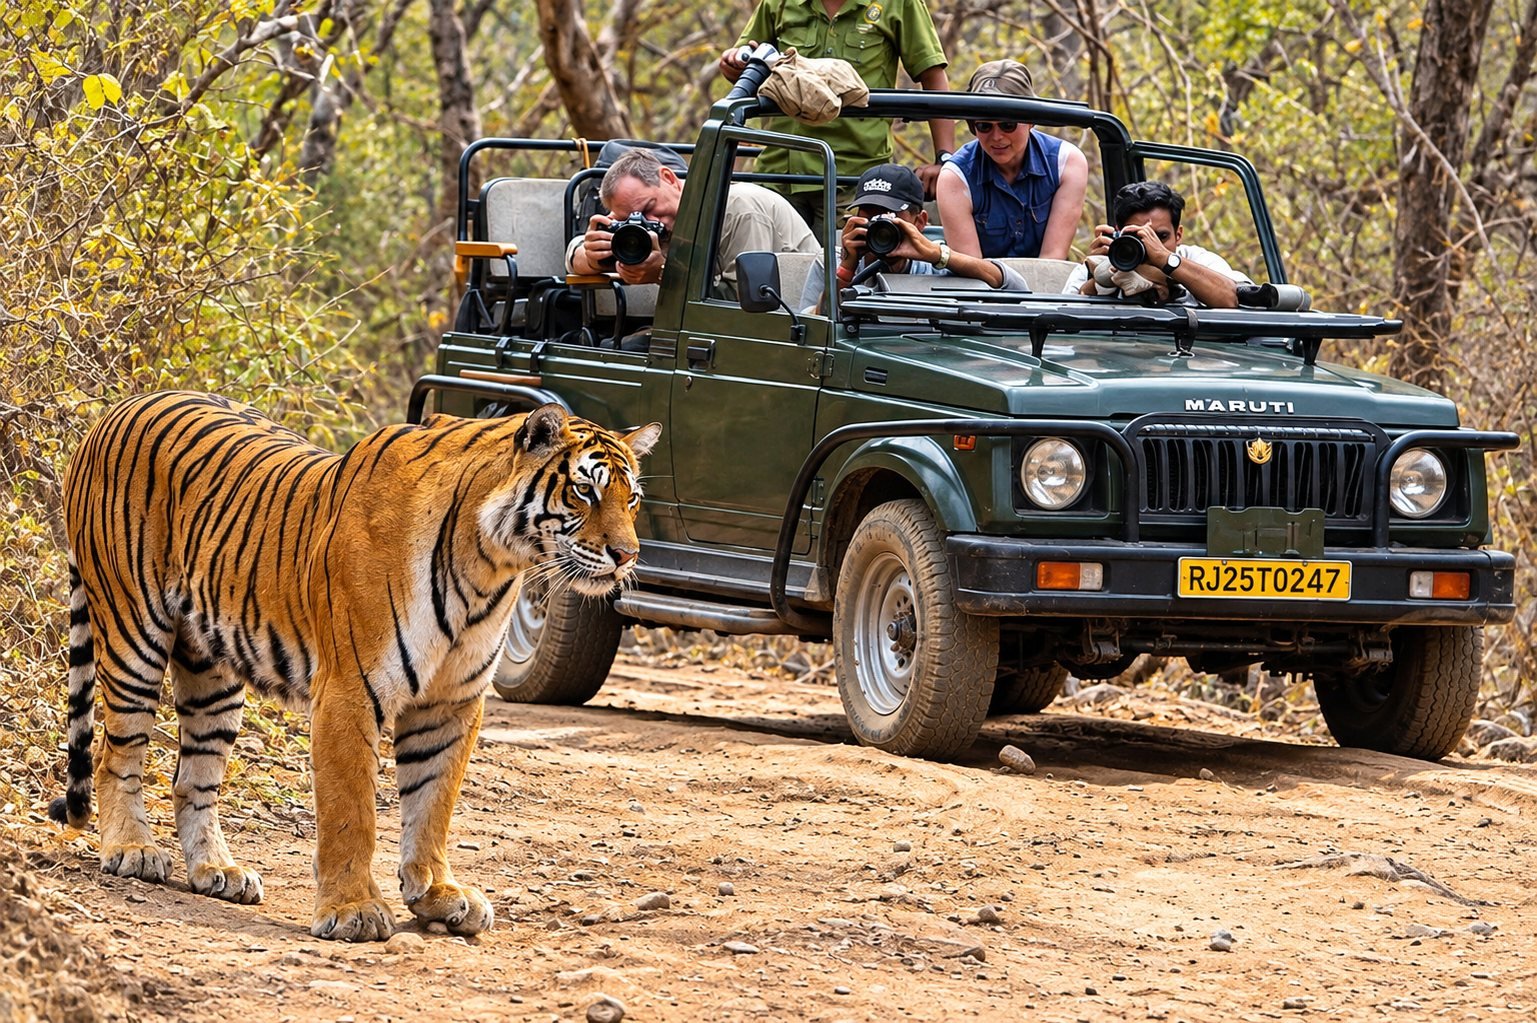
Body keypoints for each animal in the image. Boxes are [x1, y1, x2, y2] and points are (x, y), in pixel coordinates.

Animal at [49, 390, 659, 942]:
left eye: (631, 500)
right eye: (584, 490)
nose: (627, 556)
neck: (491, 562)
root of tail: (113, 411)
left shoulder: (451, 701)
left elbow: (433, 802)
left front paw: (438, 894)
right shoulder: (349, 689)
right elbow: (353, 811)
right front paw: (353, 911)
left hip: (212, 670)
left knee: (192, 777)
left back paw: (216, 870)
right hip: (133, 633)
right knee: (115, 753)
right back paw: (132, 850)